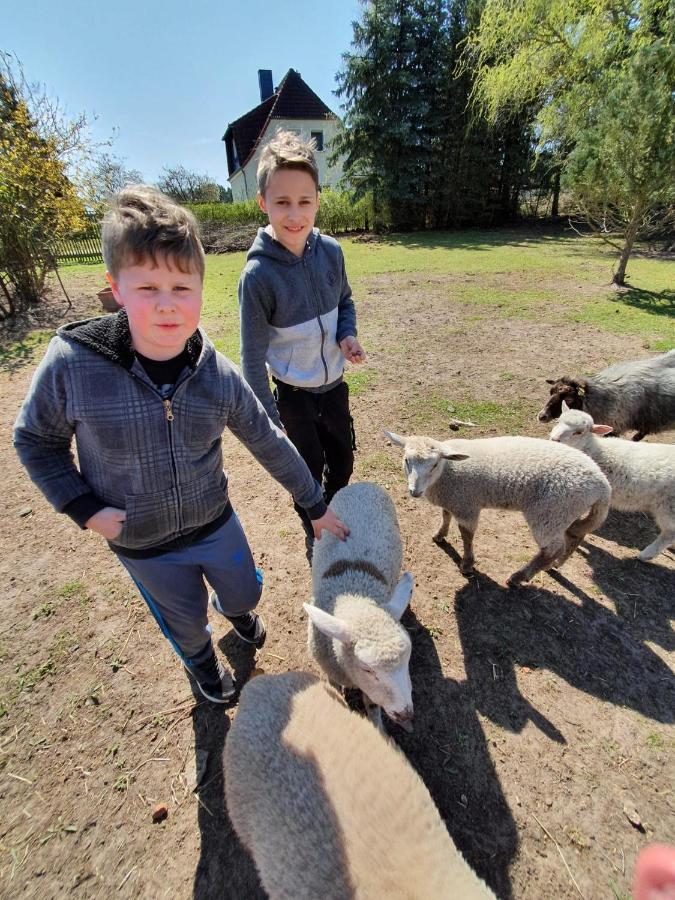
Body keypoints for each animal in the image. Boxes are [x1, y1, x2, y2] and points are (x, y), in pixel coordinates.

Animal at [304, 482, 414, 728]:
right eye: (367, 669)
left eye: (408, 659)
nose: (405, 714)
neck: (355, 598)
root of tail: (361, 484)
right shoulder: (331, 672)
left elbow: (372, 706)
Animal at [386, 430, 612, 588]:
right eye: (406, 460)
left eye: (433, 465)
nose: (415, 491)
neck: (447, 472)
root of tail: (602, 484)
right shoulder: (453, 500)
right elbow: (445, 515)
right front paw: (440, 535)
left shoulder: (467, 505)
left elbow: (467, 536)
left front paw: (467, 564)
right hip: (566, 512)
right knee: (573, 537)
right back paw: (553, 566)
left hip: (550, 512)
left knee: (552, 548)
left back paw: (519, 577)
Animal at [548, 404, 675, 560]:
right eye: (558, 421)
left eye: (579, 432)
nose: (554, 439)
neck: (594, 450)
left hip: (668, 508)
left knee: (669, 534)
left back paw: (646, 555)